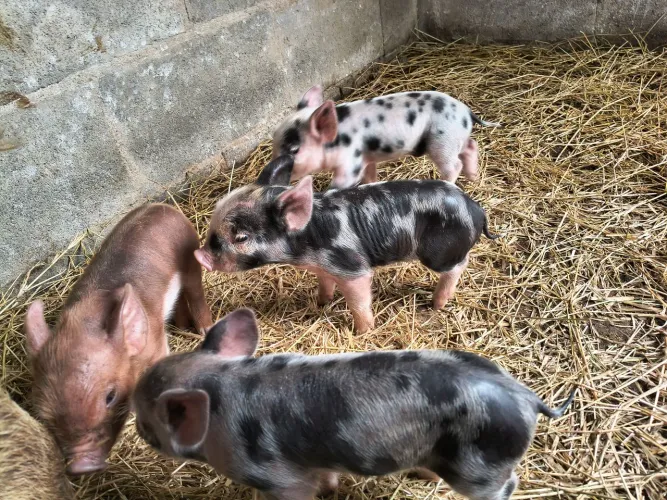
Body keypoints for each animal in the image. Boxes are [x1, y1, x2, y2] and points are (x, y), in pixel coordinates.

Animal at [24, 203, 213, 475]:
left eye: (110, 397)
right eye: (43, 413)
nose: (81, 466)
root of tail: (162, 206)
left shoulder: (156, 342)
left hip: (190, 254)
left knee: (196, 293)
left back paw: (204, 330)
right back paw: (181, 325)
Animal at [132, 308, 577, 500]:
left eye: (147, 422)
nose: (136, 428)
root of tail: (526, 396)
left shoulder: (277, 477)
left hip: (479, 468)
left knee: (506, 486)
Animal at [195, 155, 498, 333]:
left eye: (241, 237)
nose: (200, 256)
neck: (306, 243)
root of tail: (477, 209)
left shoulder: (352, 267)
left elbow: (359, 301)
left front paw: (363, 332)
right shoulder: (324, 268)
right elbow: (325, 285)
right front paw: (320, 303)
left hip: (438, 253)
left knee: (458, 265)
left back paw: (436, 305)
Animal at [271, 85, 500, 189]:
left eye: (294, 149)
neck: (336, 139)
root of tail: (466, 112)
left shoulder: (350, 161)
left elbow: (342, 183)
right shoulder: (367, 159)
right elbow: (370, 176)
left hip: (442, 142)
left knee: (454, 166)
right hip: (455, 140)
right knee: (471, 146)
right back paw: (473, 177)